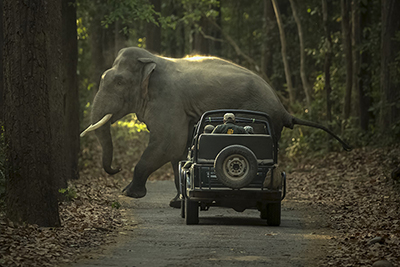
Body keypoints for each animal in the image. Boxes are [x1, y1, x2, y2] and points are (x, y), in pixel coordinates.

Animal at [80, 47, 350, 207]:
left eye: (118, 82)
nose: (116, 168)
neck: (153, 60)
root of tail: (284, 110)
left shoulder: (169, 100)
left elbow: (168, 144)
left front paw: (127, 193)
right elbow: (179, 151)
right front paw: (178, 202)